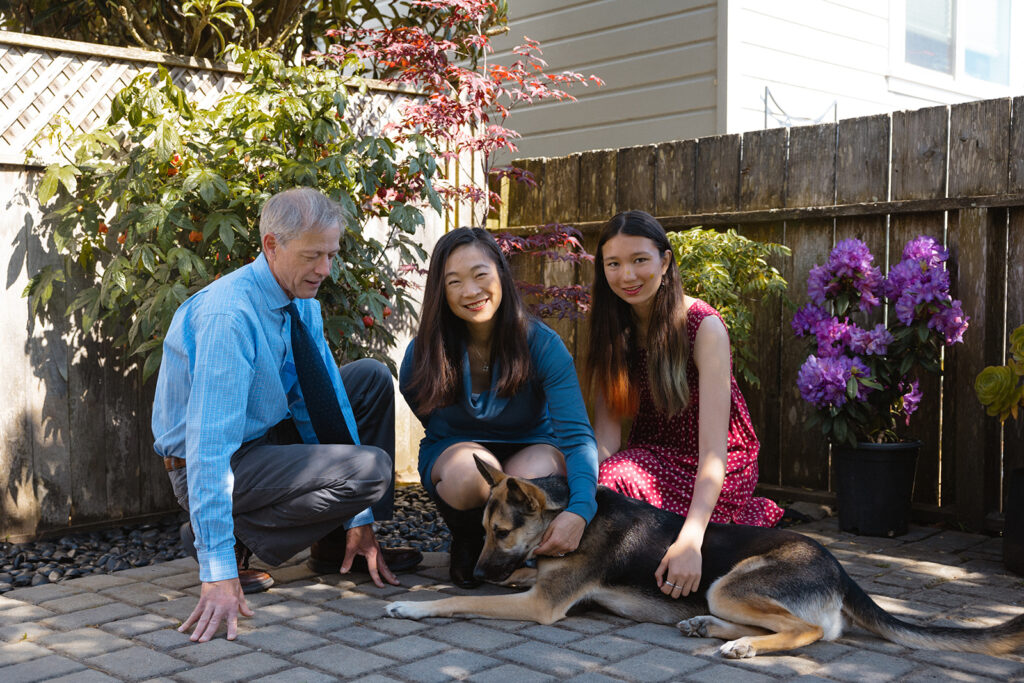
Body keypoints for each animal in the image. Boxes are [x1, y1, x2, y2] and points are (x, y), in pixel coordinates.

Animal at [385, 456, 1024, 659]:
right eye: (483, 531)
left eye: (499, 531)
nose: (474, 572)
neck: (570, 518)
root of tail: (840, 570)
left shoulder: (542, 603)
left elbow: (452, 604)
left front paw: (414, 607)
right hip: (727, 592)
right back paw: (705, 628)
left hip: (728, 583)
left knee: (810, 632)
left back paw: (739, 645)